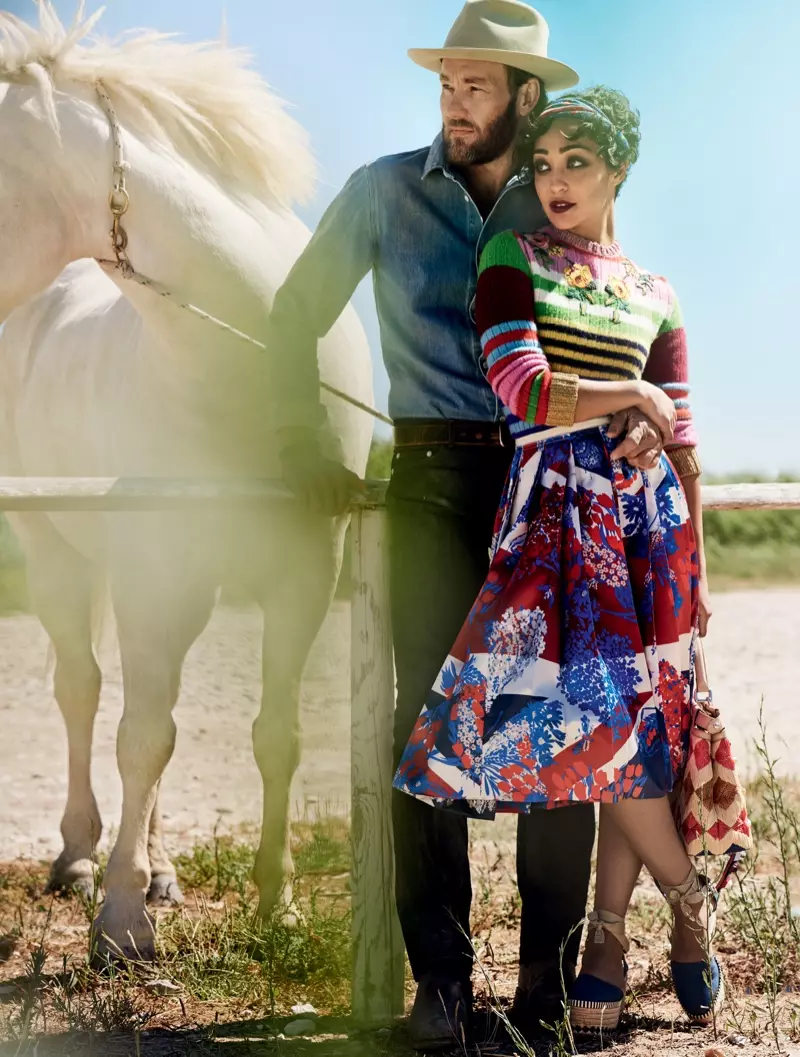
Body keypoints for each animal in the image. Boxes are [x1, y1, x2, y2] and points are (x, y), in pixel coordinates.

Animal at [0, 2, 371, 959]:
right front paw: (121, 921)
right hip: (60, 556)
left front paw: (276, 903)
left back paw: (161, 866)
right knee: (85, 690)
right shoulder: (152, 575)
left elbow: (273, 735)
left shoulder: (304, 574)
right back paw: (82, 858)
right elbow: (139, 736)